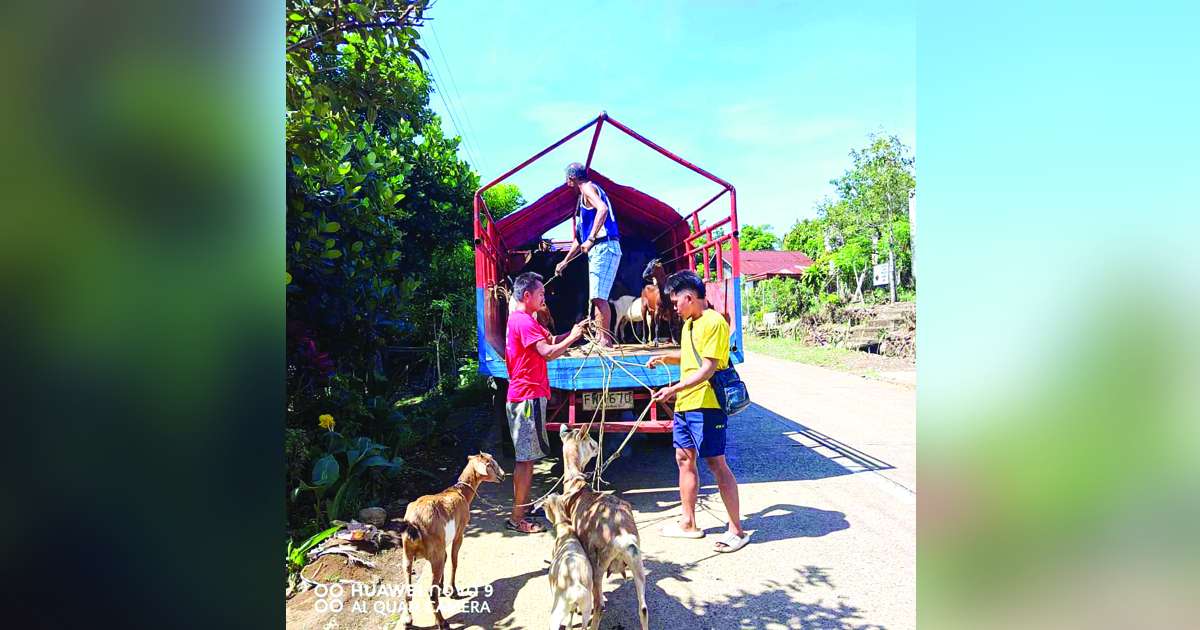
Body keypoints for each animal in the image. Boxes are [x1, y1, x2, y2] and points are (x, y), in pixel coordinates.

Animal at [393, 451, 506, 624]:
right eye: (491, 464)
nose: (503, 475)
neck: (459, 492)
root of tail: (414, 522)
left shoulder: (443, 543)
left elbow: (447, 558)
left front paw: (441, 585)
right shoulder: (459, 534)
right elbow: (454, 561)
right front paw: (453, 591)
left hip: (408, 554)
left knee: (408, 588)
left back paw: (407, 618)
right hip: (434, 554)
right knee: (430, 592)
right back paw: (442, 622)